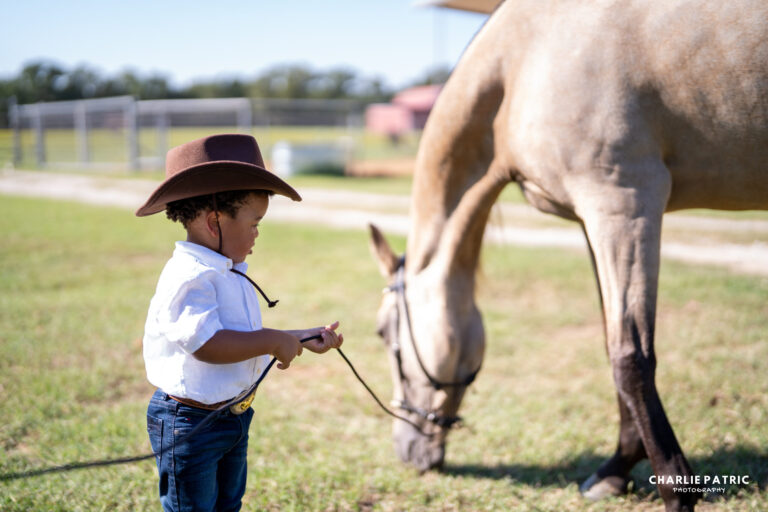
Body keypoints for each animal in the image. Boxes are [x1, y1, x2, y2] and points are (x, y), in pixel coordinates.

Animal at [368, 1, 767, 510]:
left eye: (384, 333)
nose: (405, 450)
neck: (524, 60)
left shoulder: (622, 203)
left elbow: (630, 357)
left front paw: (676, 491)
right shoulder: (593, 219)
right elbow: (612, 344)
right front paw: (615, 471)